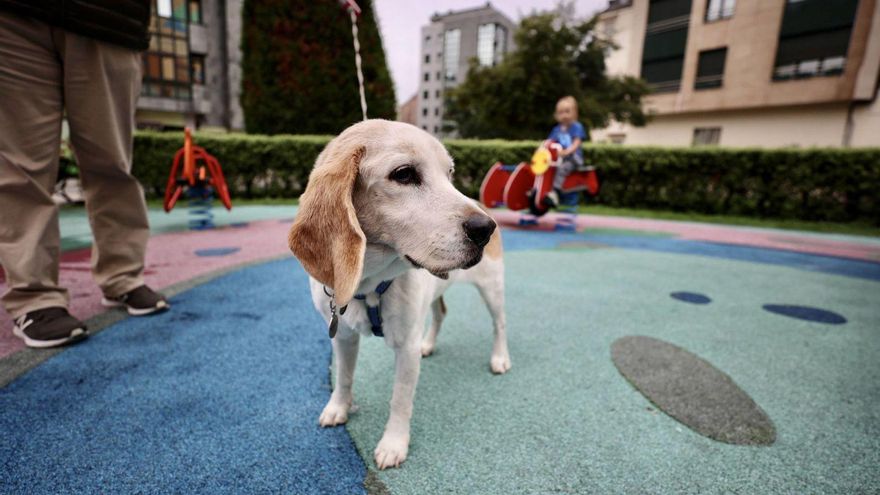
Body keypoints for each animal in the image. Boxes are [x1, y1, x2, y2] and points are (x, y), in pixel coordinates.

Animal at [288, 119, 508, 468]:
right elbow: (343, 376)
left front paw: (393, 444)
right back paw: (429, 345)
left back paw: (500, 358)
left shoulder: (405, 348)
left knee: (499, 324)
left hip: (492, 289)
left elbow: (400, 399)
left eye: (449, 174)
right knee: (440, 314)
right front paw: (338, 408)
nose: (486, 229)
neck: (367, 285)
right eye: (404, 174)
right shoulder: (343, 337)